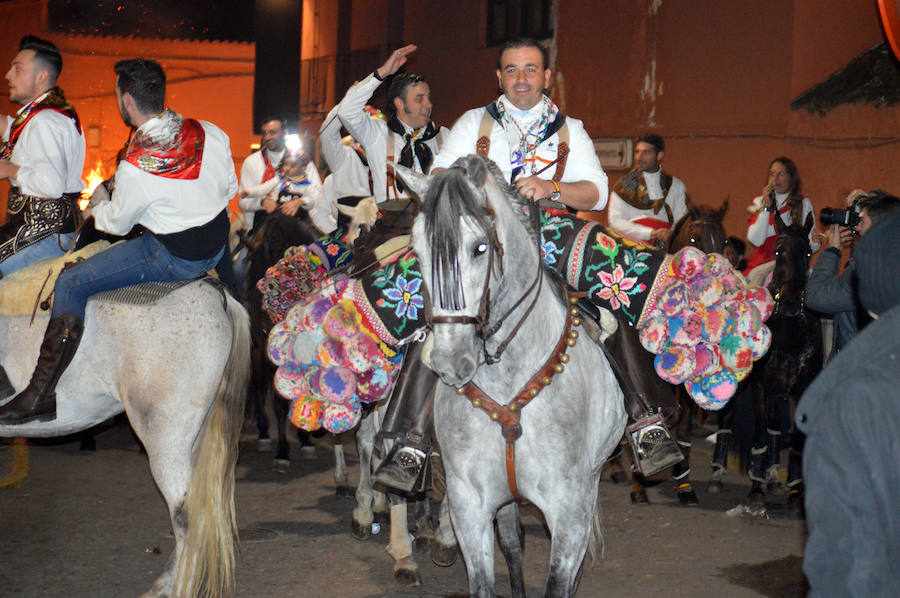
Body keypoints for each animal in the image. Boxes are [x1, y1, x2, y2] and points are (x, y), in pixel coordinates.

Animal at [402, 159, 624, 598]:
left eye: (480, 247)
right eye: (418, 251)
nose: (450, 360)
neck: (508, 384)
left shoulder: (570, 510)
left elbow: (560, 582)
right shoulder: (470, 504)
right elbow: (487, 577)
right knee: (512, 544)